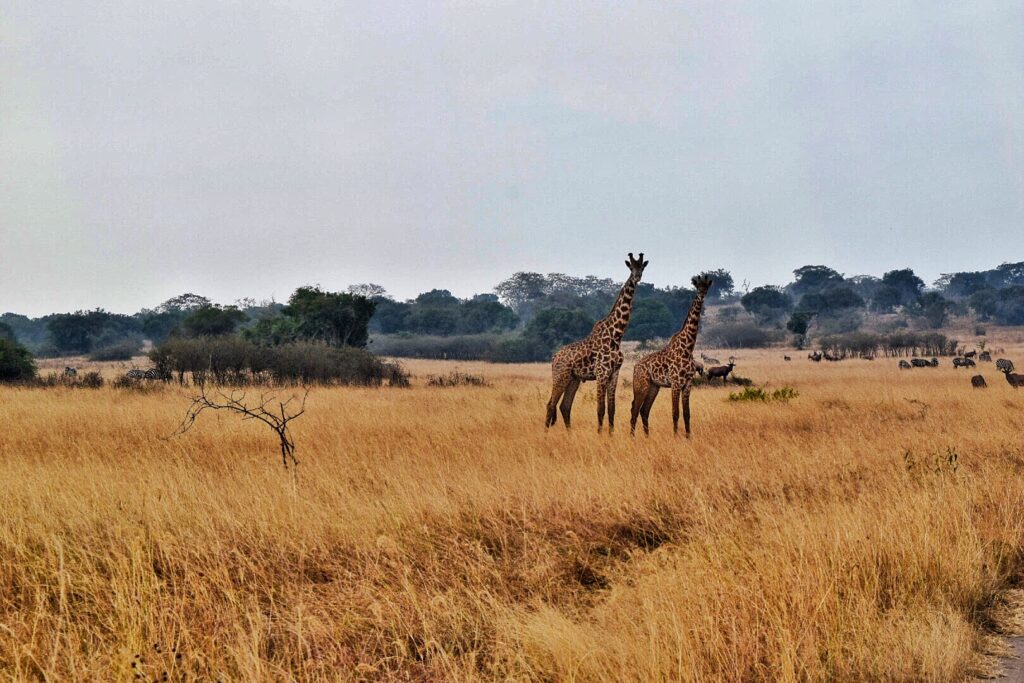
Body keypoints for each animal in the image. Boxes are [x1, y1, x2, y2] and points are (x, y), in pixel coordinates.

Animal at [544, 250, 647, 432]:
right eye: (631, 267)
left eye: (642, 267)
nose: (637, 277)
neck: (616, 335)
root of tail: (554, 357)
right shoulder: (601, 373)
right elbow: (600, 408)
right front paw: (600, 434)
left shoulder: (614, 374)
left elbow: (612, 409)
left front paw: (611, 434)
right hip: (560, 375)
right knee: (551, 404)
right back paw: (545, 434)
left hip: (574, 379)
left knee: (564, 406)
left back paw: (569, 434)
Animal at [622, 274, 712, 438]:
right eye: (698, 287)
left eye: (707, 287)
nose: (702, 295)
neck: (687, 348)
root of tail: (636, 367)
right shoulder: (675, 383)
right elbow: (675, 413)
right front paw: (676, 436)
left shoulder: (688, 383)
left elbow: (687, 413)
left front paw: (688, 437)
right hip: (641, 384)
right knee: (634, 409)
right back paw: (632, 436)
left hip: (654, 387)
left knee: (644, 410)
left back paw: (647, 436)